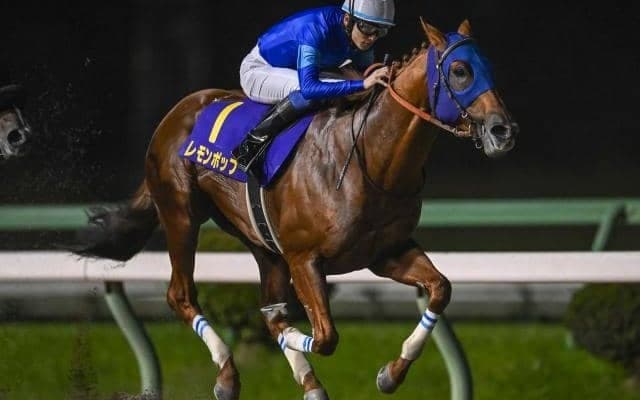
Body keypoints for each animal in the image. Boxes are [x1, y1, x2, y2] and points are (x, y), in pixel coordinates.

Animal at [73, 19, 517, 400]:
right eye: (460, 70)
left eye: (489, 66)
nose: (503, 130)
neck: (371, 159)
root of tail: (175, 113)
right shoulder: (304, 258)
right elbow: (325, 337)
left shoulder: (386, 252)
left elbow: (440, 289)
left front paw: (391, 374)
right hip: (181, 214)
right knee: (181, 295)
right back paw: (228, 374)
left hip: (260, 240)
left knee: (267, 303)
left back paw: (303, 379)